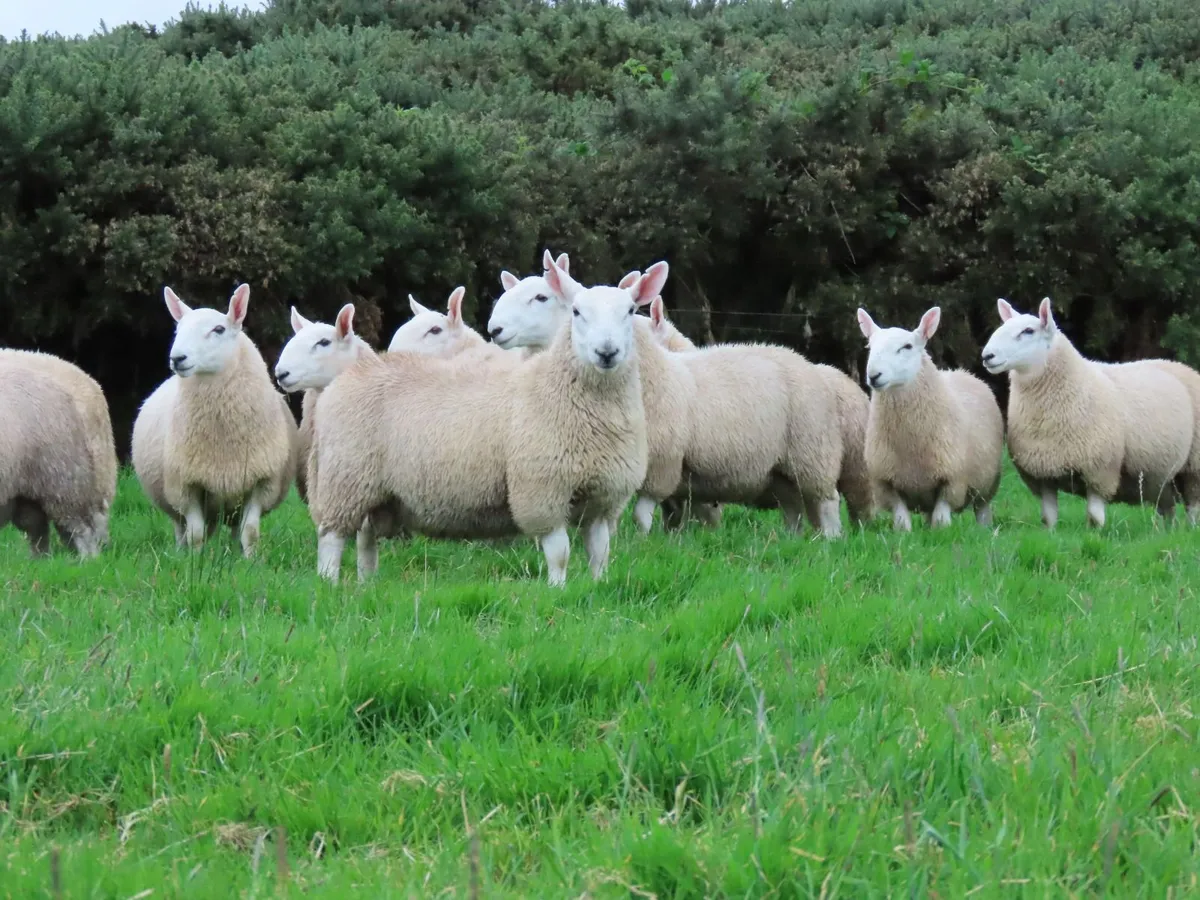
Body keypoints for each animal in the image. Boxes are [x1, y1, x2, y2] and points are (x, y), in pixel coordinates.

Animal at [0, 349, 118, 557]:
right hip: (29, 491)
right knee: (38, 530)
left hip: (66, 484)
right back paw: (39, 561)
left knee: (81, 533)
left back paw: (87, 561)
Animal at [131, 283, 298, 556]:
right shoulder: (186, 486)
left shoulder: (261, 483)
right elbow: (196, 534)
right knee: (182, 529)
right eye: (177, 329)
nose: (177, 358)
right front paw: (195, 560)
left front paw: (250, 561)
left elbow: (250, 532)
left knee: (235, 528)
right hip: (174, 498)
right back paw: (181, 553)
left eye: (219, 329)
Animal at [309, 258, 669, 586]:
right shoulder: (542, 493)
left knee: (364, 538)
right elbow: (559, 553)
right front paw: (557, 590)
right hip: (345, 479)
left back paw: (366, 582)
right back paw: (329, 585)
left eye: (629, 311)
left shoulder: (604, 499)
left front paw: (597, 585)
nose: (606, 352)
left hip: (375, 491)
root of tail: (346, 378)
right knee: (331, 538)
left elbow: (600, 552)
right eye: (577, 312)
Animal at [855, 306, 1003, 531]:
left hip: (985, 485)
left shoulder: (952, 480)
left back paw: (984, 529)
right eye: (870, 346)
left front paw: (942, 532)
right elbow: (901, 520)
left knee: (982, 509)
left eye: (907, 346)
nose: (873, 375)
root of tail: (960, 371)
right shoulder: (886, 483)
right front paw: (906, 534)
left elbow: (941, 519)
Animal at [981, 297, 1193, 528]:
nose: (987, 356)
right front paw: (1051, 532)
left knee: (1192, 506)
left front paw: (1095, 533)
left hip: (1193, 467)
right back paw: (1168, 531)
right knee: (1168, 507)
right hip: (1160, 477)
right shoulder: (1042, 473)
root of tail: (1172, 362)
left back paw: (1191, 528)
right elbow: (1048, 517)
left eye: (1028, 331)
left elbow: (1094, 516)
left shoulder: (1099, 470)